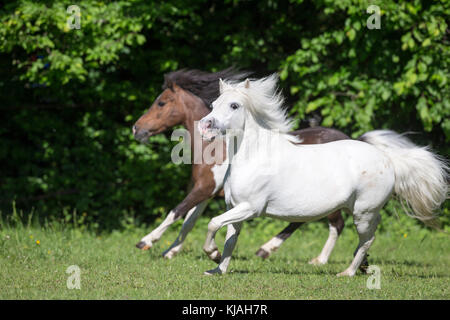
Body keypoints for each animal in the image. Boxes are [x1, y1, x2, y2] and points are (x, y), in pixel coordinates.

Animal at [133, 69, 366, 270]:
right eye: (214, 104)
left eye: (161, 103)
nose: (137, 129)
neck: (217, 149)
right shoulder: (208, 193)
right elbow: (188, 221)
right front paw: (172, 251)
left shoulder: (205, 188)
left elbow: (176, 212)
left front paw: (146, 241)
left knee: (335, 224)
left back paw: (317, 259)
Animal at [199, 74, 448, 276]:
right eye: (213, 104)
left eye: (234, 105)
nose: (205, 126)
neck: (253, 157)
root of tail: (388, 159)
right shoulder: (235, 207)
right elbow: (230, 240)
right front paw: (217, 269)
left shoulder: (251, 207)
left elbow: (213, 223)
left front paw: (211, 253)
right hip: (359, 210)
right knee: (367, 234)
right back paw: (362, 267)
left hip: (362, 213)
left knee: (367, 238)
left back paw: (347, 272)